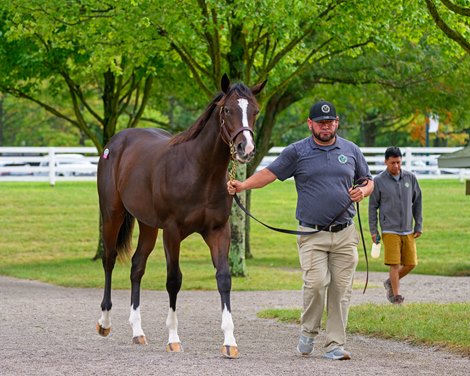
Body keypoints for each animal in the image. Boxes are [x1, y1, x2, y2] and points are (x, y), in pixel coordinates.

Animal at [94, 74, 264, 358]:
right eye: (227, 110)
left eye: (255, 111)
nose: (246, 148)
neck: (198, 170)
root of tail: (115, 143)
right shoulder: (172, 232)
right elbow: (173, 280)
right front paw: (173, 338)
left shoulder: (218, 231)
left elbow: (224, 279)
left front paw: (230, 341)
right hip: (112, 214)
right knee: (109, 259)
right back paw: (105, 322)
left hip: (148, 225)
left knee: (137, 267)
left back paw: (138, 332)